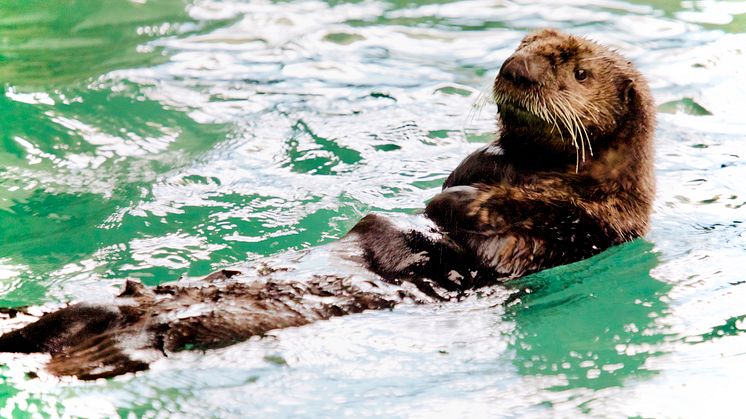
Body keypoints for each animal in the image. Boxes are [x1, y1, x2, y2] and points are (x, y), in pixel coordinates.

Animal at [0, 27, 652, 378]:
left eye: (578, 71)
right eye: (522, 43)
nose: (515, 67)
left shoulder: (582, 228)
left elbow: (516, 229)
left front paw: (459, 201)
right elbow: (466, 175)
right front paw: (472, 169)